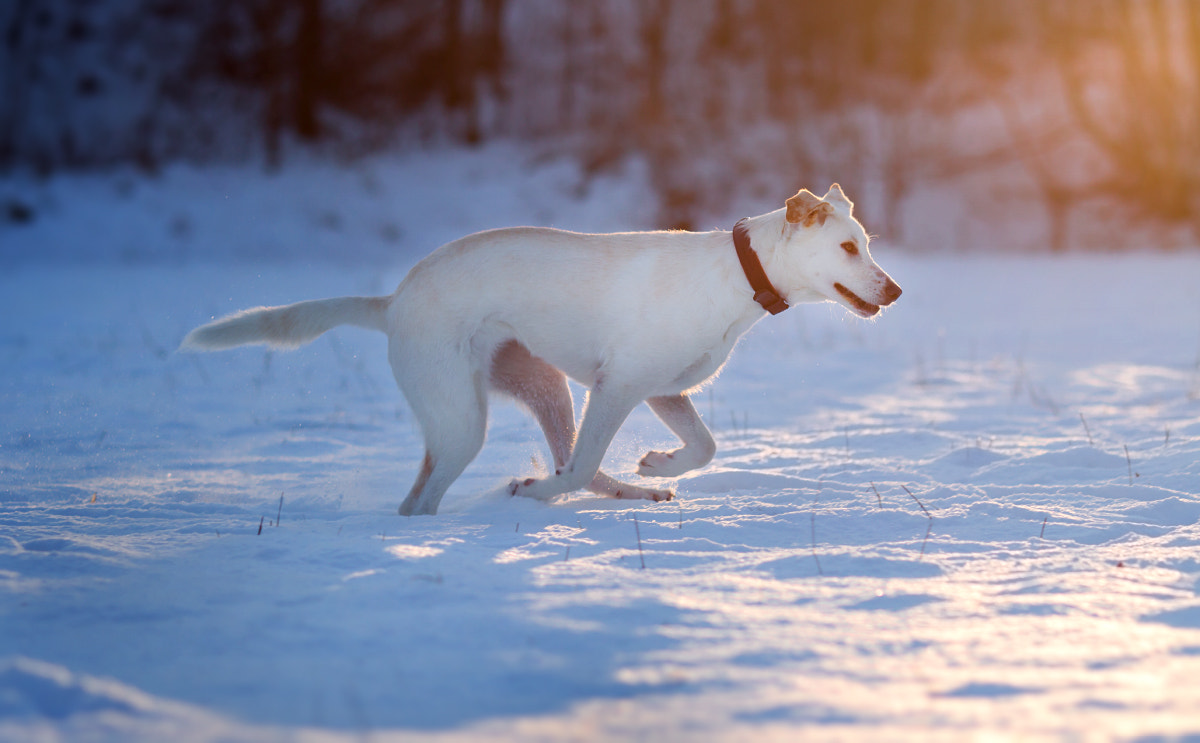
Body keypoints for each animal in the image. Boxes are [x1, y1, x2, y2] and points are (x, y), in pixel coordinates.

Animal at [180, 183, 902, 513]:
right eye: (848, 246)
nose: (894, 289)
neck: (736, 278)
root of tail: (394, 300)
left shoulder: (663, 390)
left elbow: (704, 447)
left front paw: (658, 463)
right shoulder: (617, 386)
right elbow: (582, 467)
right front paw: (533, 493)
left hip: (541, 386)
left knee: (559, 461)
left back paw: (627, 490)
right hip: (464, 420)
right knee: (436, 497)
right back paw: (514, 497)